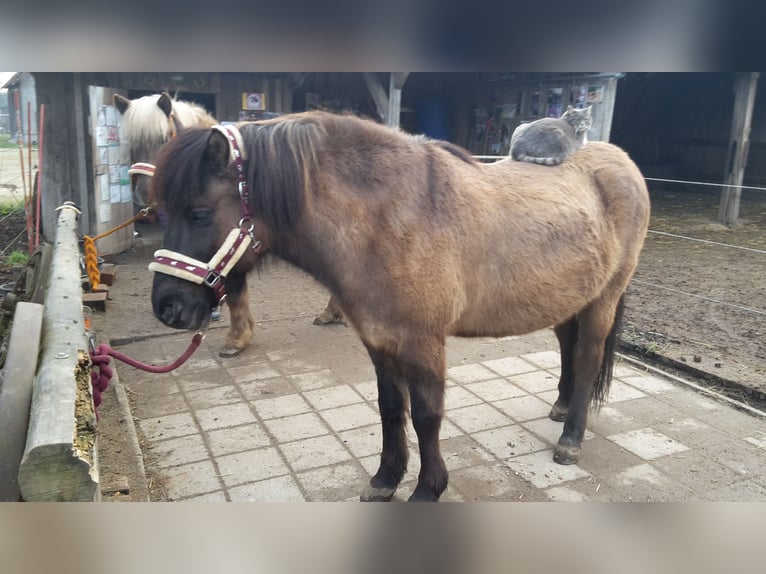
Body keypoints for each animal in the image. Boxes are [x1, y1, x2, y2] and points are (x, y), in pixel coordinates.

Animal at [148, 111, 651, 502]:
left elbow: (427, 416)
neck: (390, 217)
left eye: (198, 212)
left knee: (587, 359)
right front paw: (386, 479)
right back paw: (561, 407)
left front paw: (428, 488)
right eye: (163, 212)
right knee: (568, 347)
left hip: (604, 299)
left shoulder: (422, 341)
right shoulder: (379, 339)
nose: (168, 307)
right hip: (569, 297)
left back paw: (571, 439)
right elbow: (391, 408)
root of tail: (620, 161)